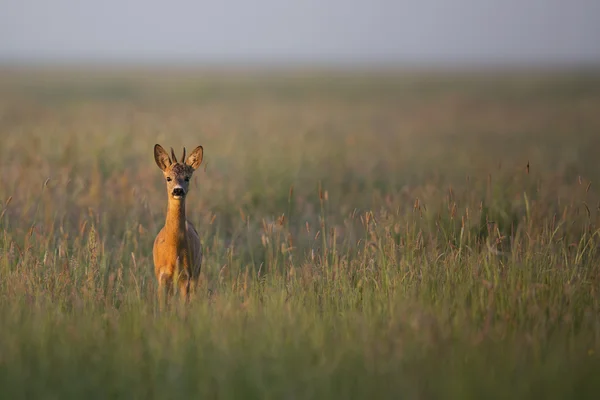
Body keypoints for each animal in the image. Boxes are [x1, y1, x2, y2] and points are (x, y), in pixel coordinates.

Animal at [152, 144, 204, 306]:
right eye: (168, 178)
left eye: (187, 177)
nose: (178, 190)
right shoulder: (162, 275)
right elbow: (163, 305)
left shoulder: (186, 275)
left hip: (197, 270)